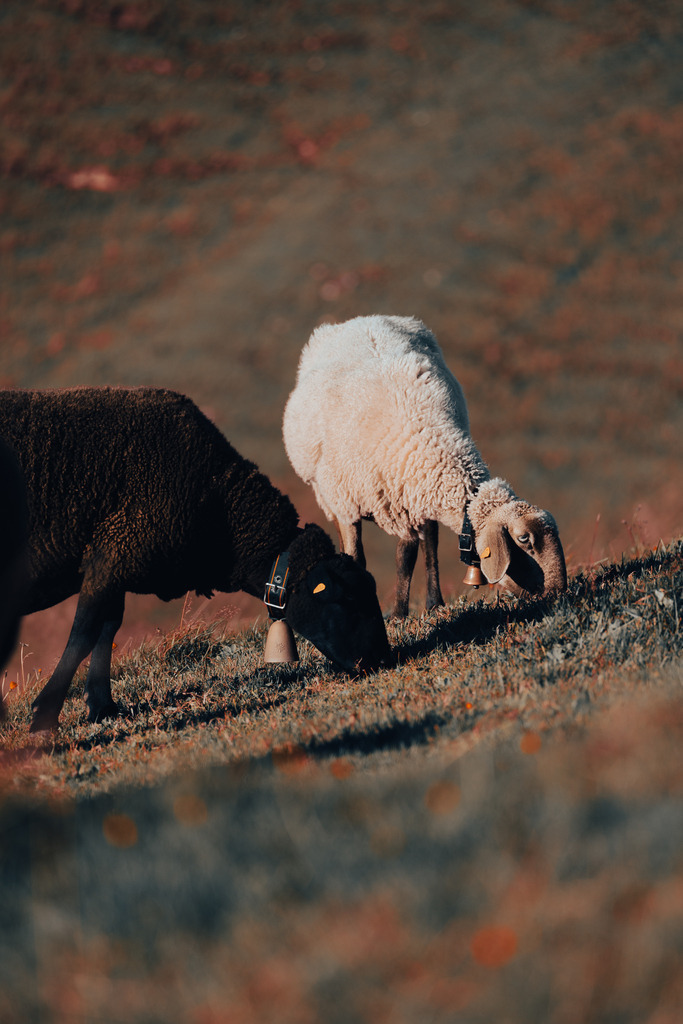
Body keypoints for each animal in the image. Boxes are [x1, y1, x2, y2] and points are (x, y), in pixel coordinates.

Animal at [0, 386, 390, 733]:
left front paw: (102, 706)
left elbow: (106, 629)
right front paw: (45, 717)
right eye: (345, 599)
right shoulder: (112, 553)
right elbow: (85, 633)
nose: (383, 659)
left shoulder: (118, 558)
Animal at [283, 315, 567, 617]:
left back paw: (434, 602)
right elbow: (358, 558)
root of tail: (361, 319)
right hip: (330, 494)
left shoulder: (408, 502)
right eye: (524, 540)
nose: (557, 591)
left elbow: (407, 557)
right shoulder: (348, 501)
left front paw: (404, 613)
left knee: (430, 546)